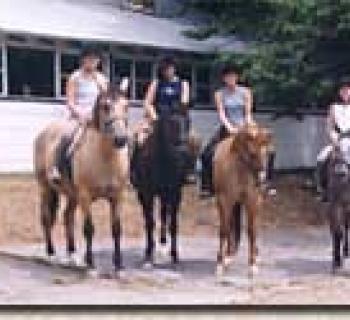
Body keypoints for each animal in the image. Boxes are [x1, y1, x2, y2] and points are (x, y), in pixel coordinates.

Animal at [33, 90, 129, 272]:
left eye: (126, 106)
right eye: (105, 106)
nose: (121, 139)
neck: (105, 158)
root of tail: (44, 131)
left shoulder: (118, 196)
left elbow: (117, 229)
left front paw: (119, 265)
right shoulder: (85, 196)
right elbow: (89, 228)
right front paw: (91, 264)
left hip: (72, 195)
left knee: (67, 217)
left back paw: (72, 256)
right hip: (45, 188)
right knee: (46, 218)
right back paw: (51, 254)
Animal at [213, 124, 274, 276]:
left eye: (267, 153)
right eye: (252, 153)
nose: (262, 180)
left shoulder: (252, 200)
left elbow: (252, 230)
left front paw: (252, 265)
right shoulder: (224, 200)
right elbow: (224, 229)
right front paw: (220, 263)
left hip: (256, 203)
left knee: (254, 226)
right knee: (230, 226)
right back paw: (228, 256)